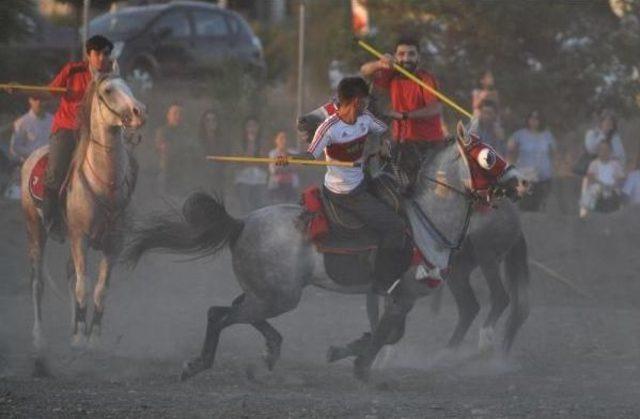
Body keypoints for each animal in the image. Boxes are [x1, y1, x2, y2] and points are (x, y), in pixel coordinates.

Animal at [122, 123, 528, 382]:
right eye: (488, 157)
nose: (520, 182)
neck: (426, 219)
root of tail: (241, 222)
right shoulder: (402, 293)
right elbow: (386, 333)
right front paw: (361, 366)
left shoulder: (403, 296)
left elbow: (389, 333)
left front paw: (349, 352)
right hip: (280, 296)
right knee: (222, 315)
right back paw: (201, 363)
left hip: (268, 292)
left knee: (230, 311)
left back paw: (270, 350)